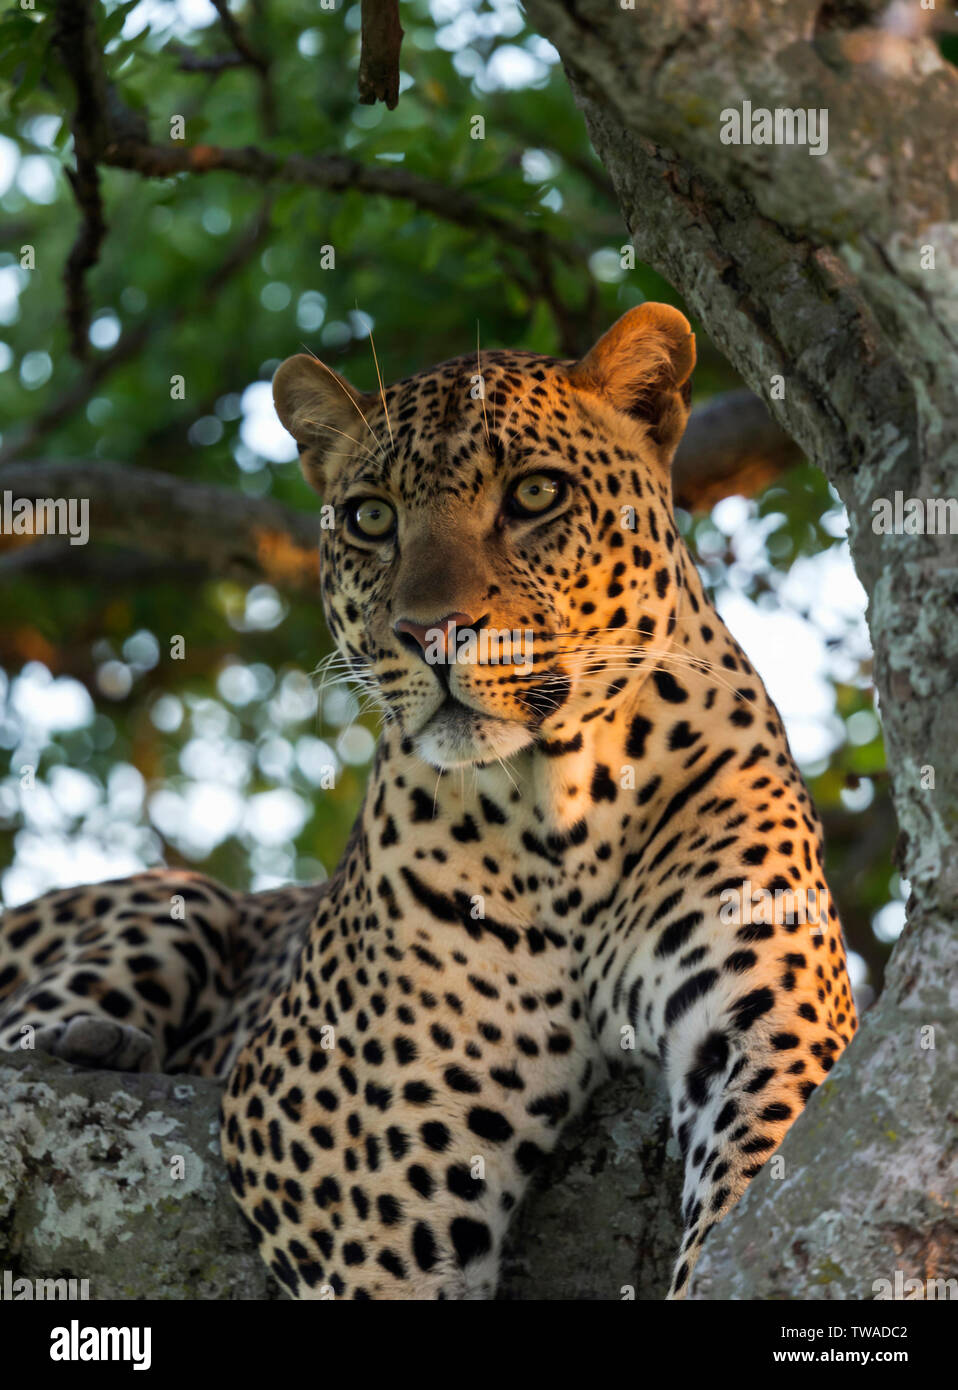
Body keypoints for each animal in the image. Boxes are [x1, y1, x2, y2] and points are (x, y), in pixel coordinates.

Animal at [0, 303, 857, 1300]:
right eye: (371, 517)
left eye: (535, 494)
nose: (430, 633)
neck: (564, 812)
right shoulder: (354, 1156)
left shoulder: (774, 1029)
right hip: (178, 903)